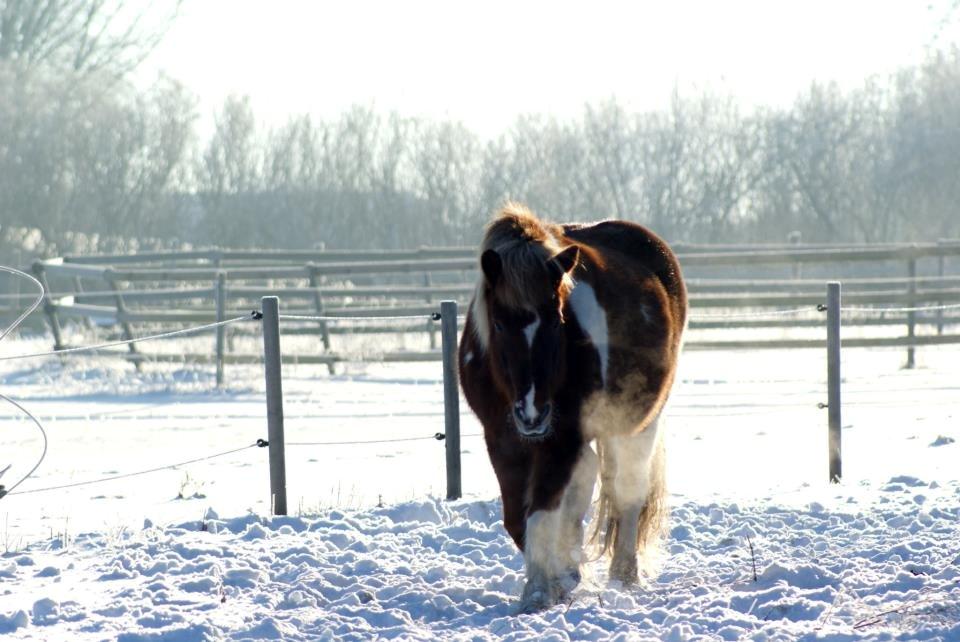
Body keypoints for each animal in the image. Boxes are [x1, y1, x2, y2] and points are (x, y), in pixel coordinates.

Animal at [456, 204, 684, 608]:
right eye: (497, 324)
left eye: (557, 319)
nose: (533, 414)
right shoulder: (501, 439)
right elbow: (517, 518)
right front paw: (559, 577)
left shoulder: (560, 440)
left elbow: (540, 515)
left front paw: (539, 592)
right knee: (588, 478)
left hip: (639, 422)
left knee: (628, 491)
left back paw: (624, 574)